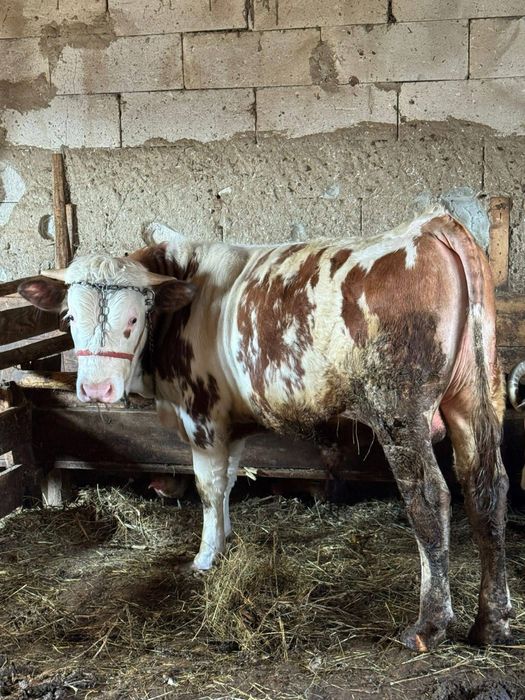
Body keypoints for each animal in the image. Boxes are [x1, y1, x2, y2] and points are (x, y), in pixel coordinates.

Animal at [19, 207, 512, 652]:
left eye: (134, 319)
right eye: (70, 319)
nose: (96, 390)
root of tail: (430, 225)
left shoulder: (202, 414)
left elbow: (208, 488)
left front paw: (205, 557)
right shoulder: (230, 423)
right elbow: (229, 481)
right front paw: (226, 541)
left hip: (400, 410)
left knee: (430, 498)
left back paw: (429, 625)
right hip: (477, 397)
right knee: (486, 488)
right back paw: (492, 622)